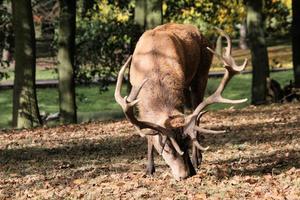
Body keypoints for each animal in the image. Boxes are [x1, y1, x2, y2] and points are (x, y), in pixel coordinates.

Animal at [113, 23, 247, 180]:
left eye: (186, 144)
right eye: (166, 148)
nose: (185, 175)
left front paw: (192, 164)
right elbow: (149, 135)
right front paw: (149, 169)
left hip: (201, 75)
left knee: (197, 114)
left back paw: (197, 159)